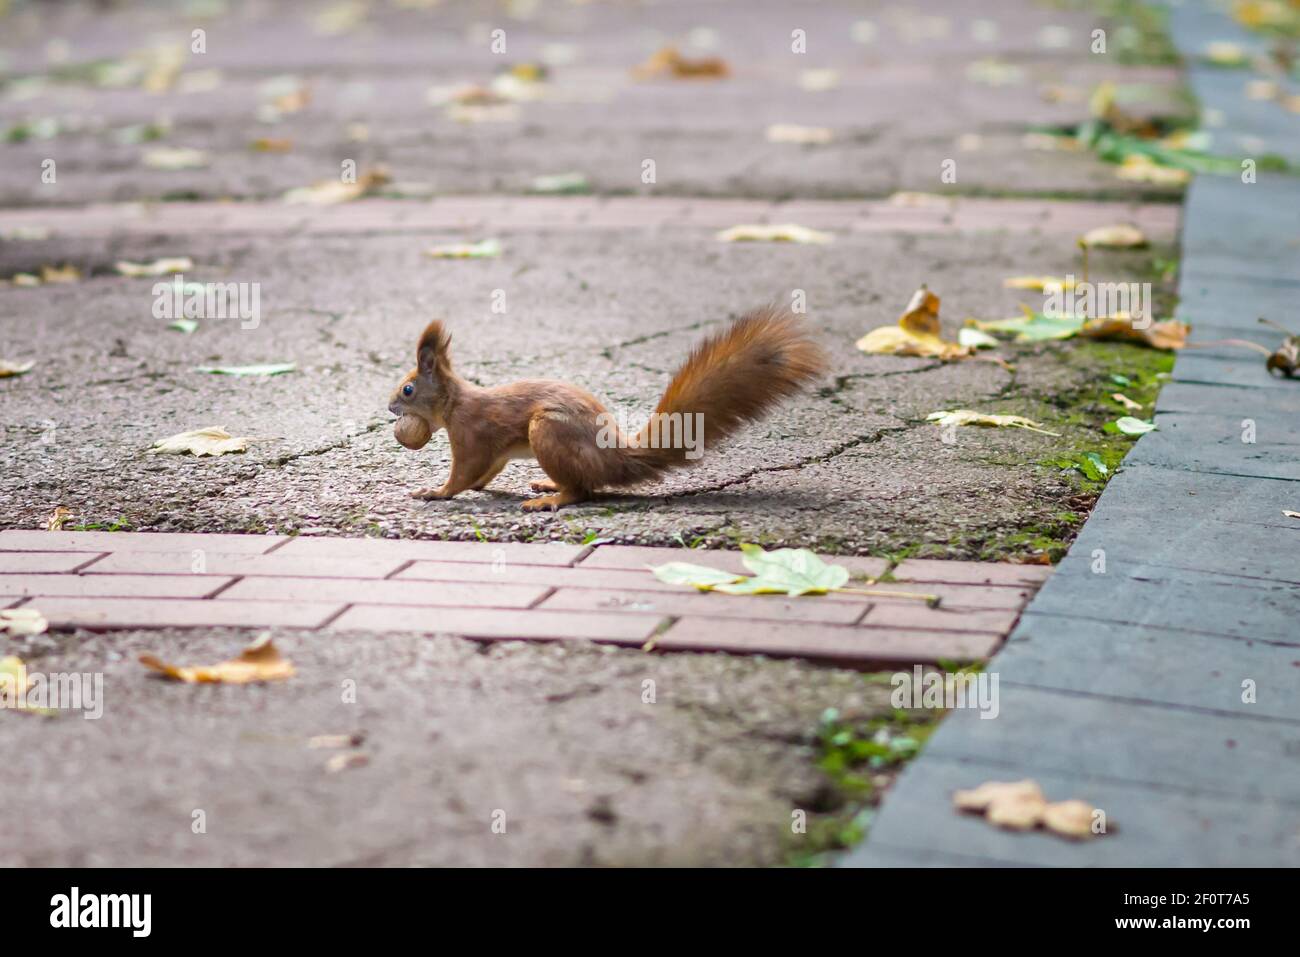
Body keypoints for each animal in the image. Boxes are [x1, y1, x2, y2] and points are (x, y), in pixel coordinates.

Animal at [387, 305, 826, 511]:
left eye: (407, 389)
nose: (389, 407)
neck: (456, 402)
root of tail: (616, 457)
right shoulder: (492, 451)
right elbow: (487, 470)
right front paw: (477, 487)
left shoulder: (472, 434)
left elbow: (464, 472)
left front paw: (436, 491)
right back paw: (549, 485)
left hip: (547, 429)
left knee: (582, 491)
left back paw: (552, 498)